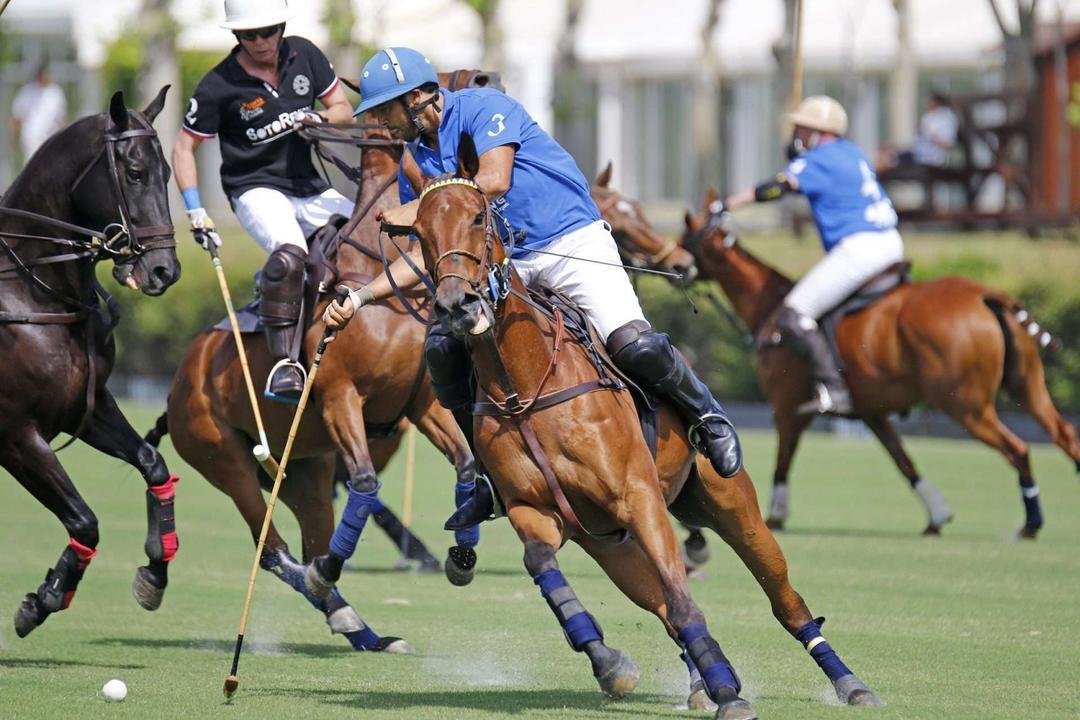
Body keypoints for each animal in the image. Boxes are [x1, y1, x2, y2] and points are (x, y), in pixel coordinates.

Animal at [0, 88, 181, 634]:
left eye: (168, 172)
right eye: (135, 172)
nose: (164, 270)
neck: (36, 291)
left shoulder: (90, 406)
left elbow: (153, 464)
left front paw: (155, 570)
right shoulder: (17, 434)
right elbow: (86, 520)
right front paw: (44, 598)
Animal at [151, 122, 473, 651]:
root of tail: (179, 382)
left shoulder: (422, 403)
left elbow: (466, 465)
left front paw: (460, 556)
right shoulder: (342, 398)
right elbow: (364, 482)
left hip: (305, 471)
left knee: (310, 536)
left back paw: (362, 629)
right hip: (221, 455)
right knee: (273, 549)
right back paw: (326, 593)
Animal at [386, 133, 876, 716]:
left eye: (480, 216)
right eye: (418, 231)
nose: (455, 305)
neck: (523, 387)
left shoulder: (638, 496)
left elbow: (687, 602)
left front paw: (730, 694)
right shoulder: (536, 511)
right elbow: (545, 568)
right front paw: (611, 664)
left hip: (728, 505)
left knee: (783, 598)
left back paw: (847, 682)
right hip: (613, 546)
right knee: (661, 602)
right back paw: (699, 682)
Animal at [678, 194, 1075, 537]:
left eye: (686, 238)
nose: (673, 263)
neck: (770, 307)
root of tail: (987, 295)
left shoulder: (787, 406)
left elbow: (783, 459)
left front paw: (775, 517)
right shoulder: (872, 412)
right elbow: (904, 461)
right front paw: (937, 516)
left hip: (965, 404)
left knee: (1017, 448)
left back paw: (1030, 525)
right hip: (1028, 385)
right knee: (1065, 433)